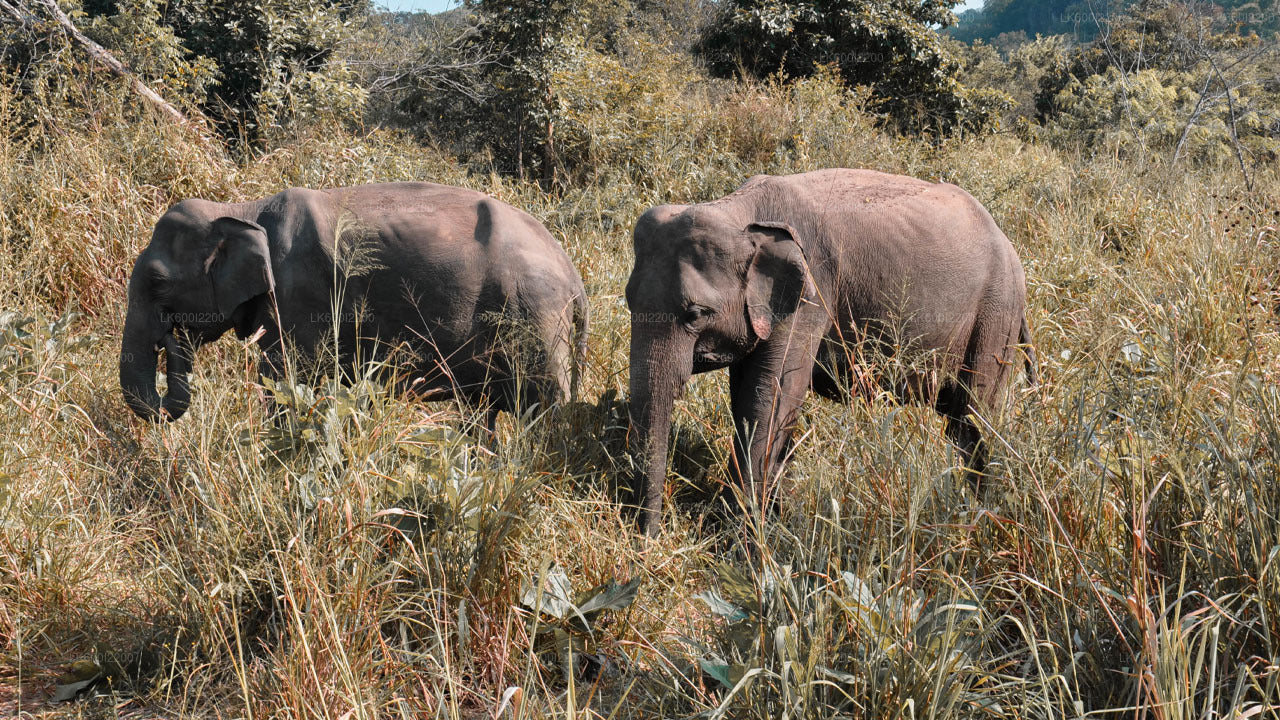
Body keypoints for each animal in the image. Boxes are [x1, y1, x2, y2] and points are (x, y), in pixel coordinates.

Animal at [117, 181, 586, 422]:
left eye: (157, 283)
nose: (171, 338)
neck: (242, 208)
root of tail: (574, 273)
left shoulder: (302, 295)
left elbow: (282, 379)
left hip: (537, 318)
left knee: (542, 407)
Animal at [624, 167, 1034, 532]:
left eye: (695, 314)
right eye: (628, 302)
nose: (649, 539)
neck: (737, 211)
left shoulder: (810, 295)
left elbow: (770, 396)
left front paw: (737, 533)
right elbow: (748, 395)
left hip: (996, 312)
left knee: (975, 417)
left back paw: (982, 516)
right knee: (960, 422)